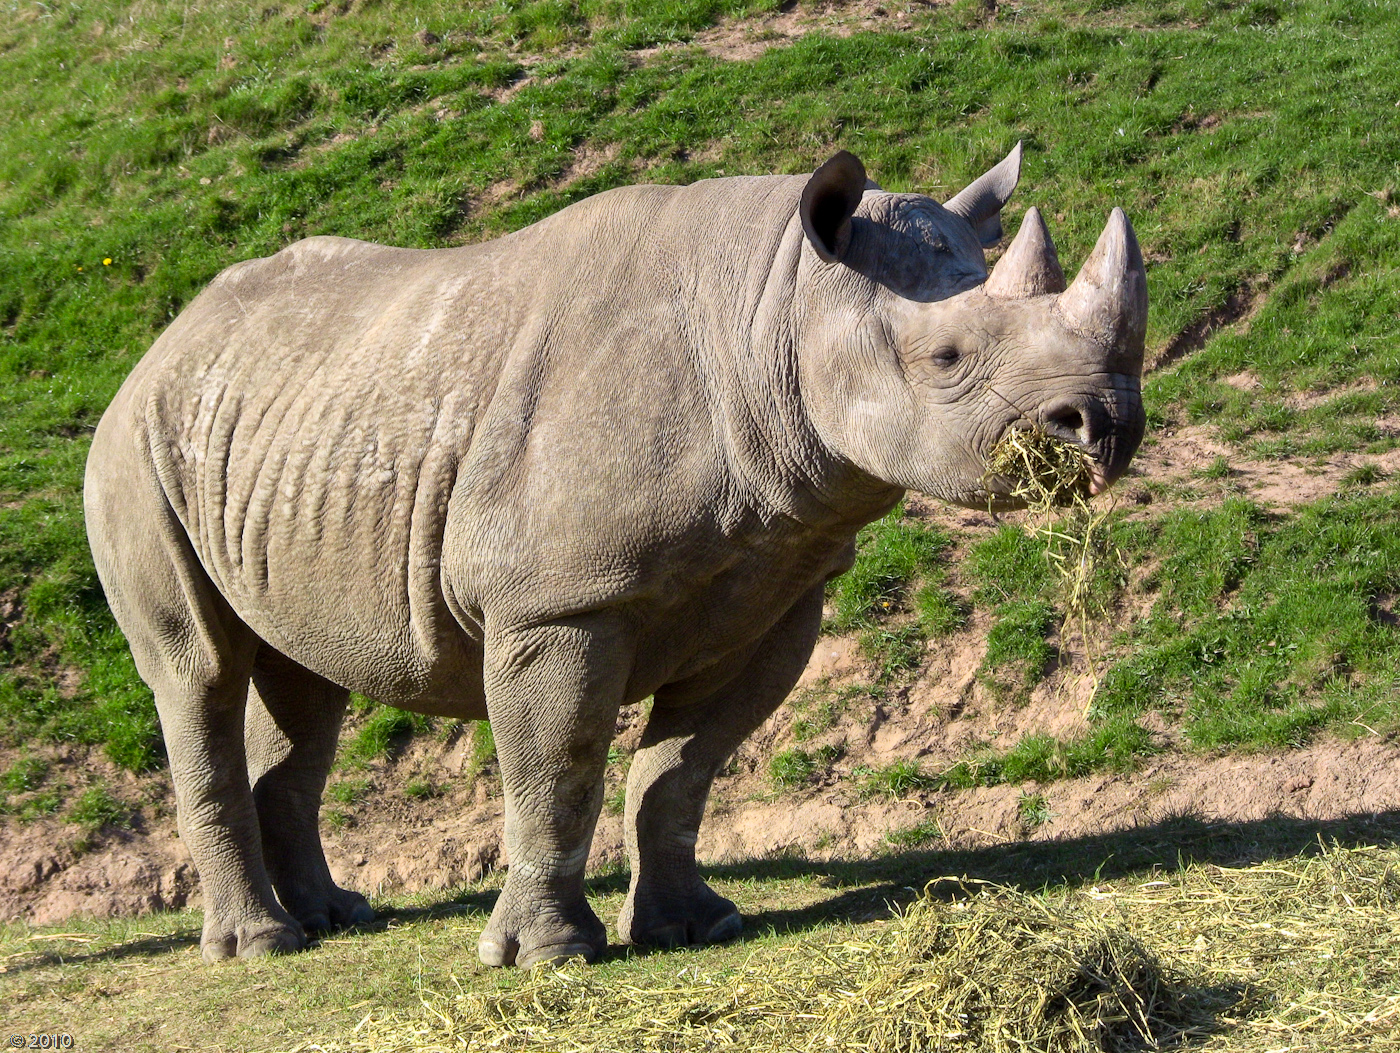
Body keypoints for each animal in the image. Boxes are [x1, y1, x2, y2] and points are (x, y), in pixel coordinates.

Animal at [84, 144, 1147, 967]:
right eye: (947, 360)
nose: (1106, 424)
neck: (774, 307)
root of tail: (158, 345)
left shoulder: (775, 585)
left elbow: (681, 769)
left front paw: (695, 926)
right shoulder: (558, 601)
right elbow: (560, 769)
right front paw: (547, 957)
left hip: (289, 425)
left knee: (307, 683)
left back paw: (336, 918)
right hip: (135, 446)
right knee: (197, 670)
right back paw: (260, 944)